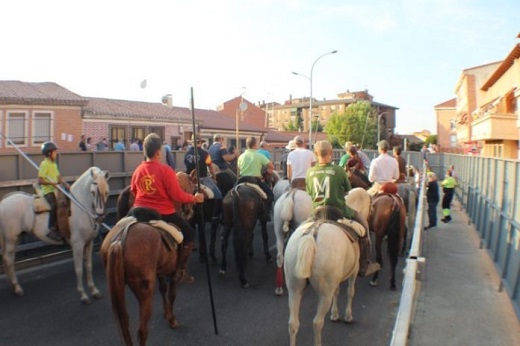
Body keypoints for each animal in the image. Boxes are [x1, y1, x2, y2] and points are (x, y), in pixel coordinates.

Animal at [0, 167, 109, 302]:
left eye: (107, 192)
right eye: (93, 192)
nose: (100, 217)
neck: (80, 208)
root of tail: (4, 201)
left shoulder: (89, 243)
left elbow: (89, 267)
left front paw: (94, 291)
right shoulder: (77, 245)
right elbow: (79, 269)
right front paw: (83, 295)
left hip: (17, 238)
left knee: (9, 258)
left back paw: (14, 287)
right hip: (10, 238)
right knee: (8, 259)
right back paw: (17, 288)